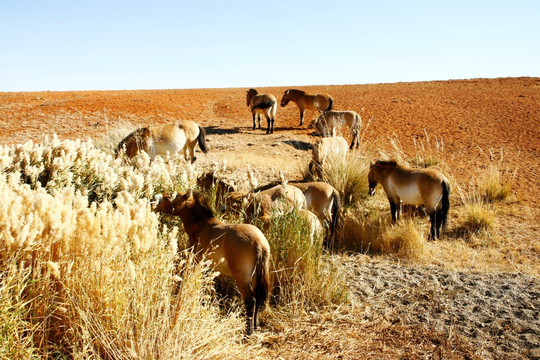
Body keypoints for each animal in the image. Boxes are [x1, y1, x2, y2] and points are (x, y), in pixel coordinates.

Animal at [154, 191, 272, 334]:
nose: (155, 197)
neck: (203, 225)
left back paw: (248, 332)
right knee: (258, 298)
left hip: (242, 279)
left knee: (251, 301)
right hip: (255, 278)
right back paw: (255, 326)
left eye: (173, 195)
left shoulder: (197, 263)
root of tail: (259, 242)